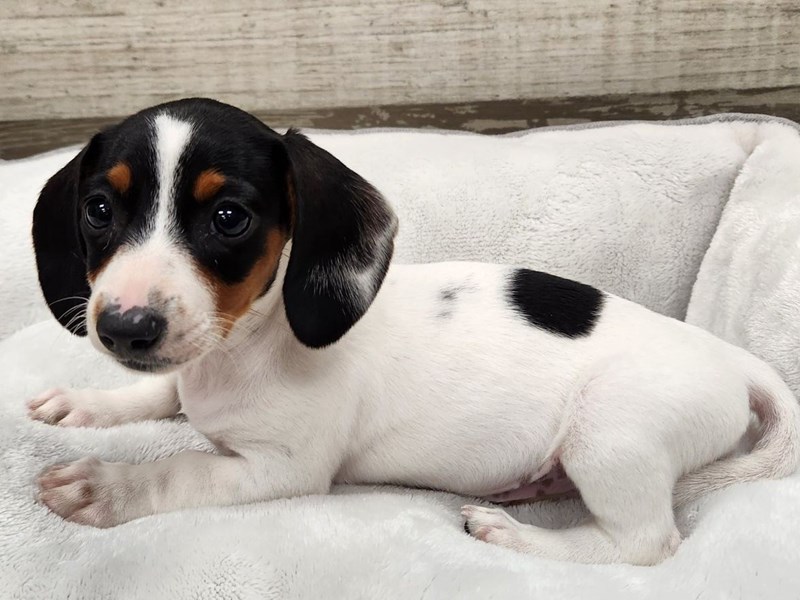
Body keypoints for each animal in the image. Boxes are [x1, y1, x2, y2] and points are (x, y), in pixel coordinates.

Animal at [26, 97, 800, 564]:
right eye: (99, 209)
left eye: (228, 218)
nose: (124, 327)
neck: (249, 344)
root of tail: (736, 362)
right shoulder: (185, 374)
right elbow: (160, 396)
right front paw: (85, 403)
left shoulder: (280, 469)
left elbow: (180, 467)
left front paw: (106, 486)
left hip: (611, 436)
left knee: (644, 545)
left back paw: (512, 533)